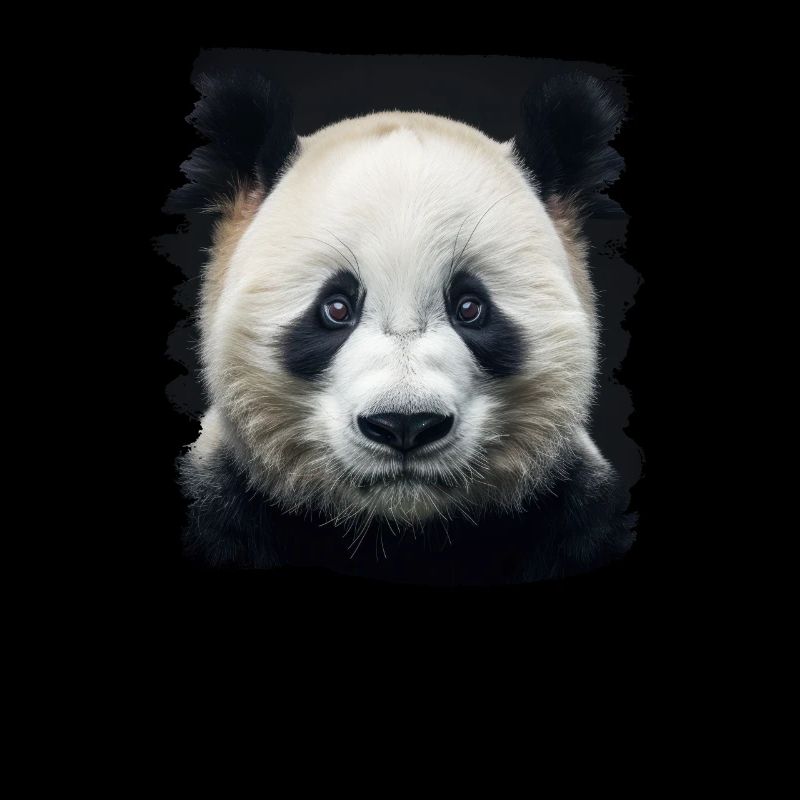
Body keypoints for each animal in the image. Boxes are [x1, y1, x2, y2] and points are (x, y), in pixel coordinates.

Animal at [167, 67, 635, 584]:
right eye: (336, 308)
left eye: (470, 308)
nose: (406, 425)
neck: (400, 533)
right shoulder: (223, 504)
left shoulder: (575, 513)